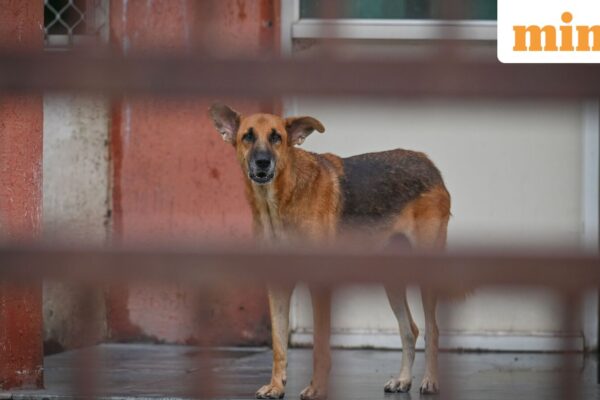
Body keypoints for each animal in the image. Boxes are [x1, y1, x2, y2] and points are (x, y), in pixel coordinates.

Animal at [209, 103, 451, 399]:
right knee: (410, 330)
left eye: (277, 137)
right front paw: (277, 386)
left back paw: (430, 381)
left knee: (432, 329)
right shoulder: (277, 286)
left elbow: (320, 345)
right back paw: (403, 379)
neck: (277, 204)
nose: (263, 162)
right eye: (248, 136)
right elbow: (278, 343)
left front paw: (317, 388)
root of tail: (428, 163)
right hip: (391, 280)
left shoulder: (320, 284)